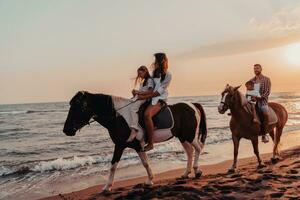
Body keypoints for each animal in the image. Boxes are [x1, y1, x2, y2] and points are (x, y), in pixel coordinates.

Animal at [63, 92, 206, 192]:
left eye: (79, 107)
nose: (66, 130)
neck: (119, 118)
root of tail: (193, 105)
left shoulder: (125, 145)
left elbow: (129, 164)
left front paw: (108, 187)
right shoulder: (128, 145)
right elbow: (135, 163)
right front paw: (108, 187)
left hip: (189, 135)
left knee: (198, 148)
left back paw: (197, 171)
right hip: (182, 137)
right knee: (190, 152)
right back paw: (186, 173)